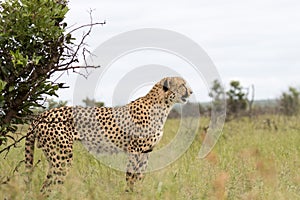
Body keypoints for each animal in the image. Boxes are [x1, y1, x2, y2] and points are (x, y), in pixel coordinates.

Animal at [25, 76, 192, 192]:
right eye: (182, 84)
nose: (191, 92)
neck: (163, 106)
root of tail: (41, 115)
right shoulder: (135, 150)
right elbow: (131, 176)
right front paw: (129, 193)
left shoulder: (146, 152)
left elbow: (140, 176)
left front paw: (138, 193)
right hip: (62, 157)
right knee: (50, 185)